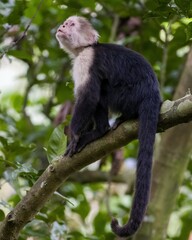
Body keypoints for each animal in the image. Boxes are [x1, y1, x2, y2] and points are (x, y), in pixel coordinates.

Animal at [55, 15, 160, 238]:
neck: (86, 48)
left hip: (128, 94)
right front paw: (80, 136)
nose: (62, 26)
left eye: (71, 24)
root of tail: (153, 92)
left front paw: (75, 136)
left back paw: (104, 128)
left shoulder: (86, 60)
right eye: (66, 22)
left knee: (101, 91)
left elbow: (89, 96)